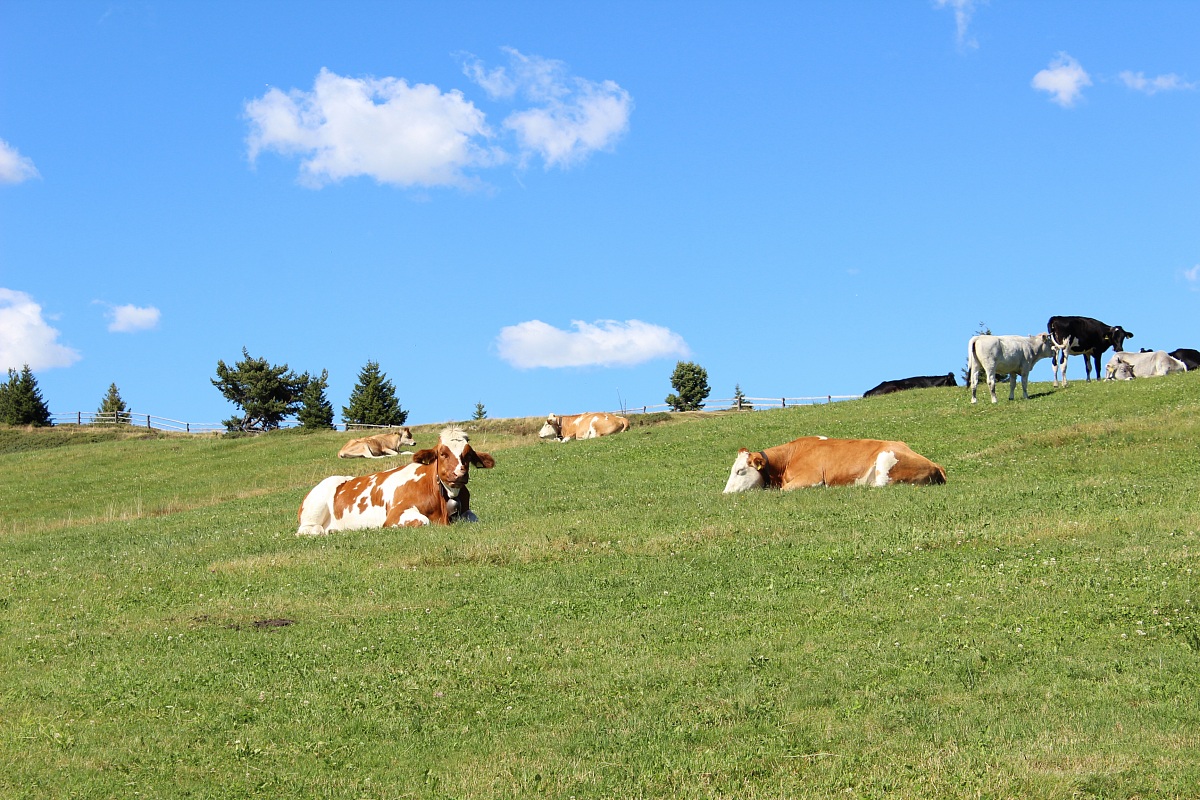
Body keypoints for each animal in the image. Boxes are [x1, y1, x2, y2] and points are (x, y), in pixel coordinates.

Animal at [297, 427, 494, 535]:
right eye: (442, 453)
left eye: (468, 455)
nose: (459, 474)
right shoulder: (396, 514)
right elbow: (423, 520)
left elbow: (474, 518)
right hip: (314, 510)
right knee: (310, 529)